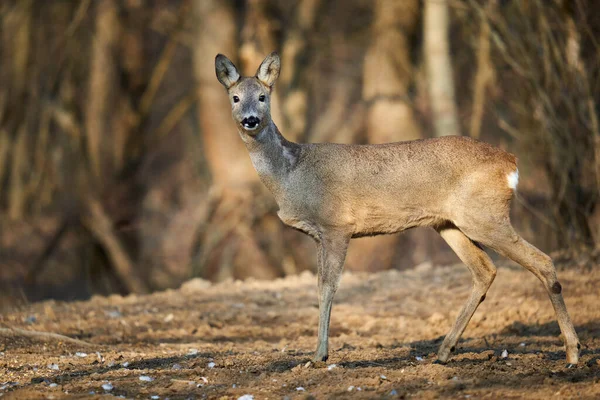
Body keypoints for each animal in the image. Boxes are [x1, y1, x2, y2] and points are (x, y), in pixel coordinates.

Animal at [213, 51, 580, 364]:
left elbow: (328, 287)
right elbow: (319, 286)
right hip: (449, 223)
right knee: (485, 269)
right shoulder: (319, 235)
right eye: (235, 97)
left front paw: (318, 356)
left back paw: (573, 352)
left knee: (542, 261)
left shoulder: (337, 226)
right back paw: (443, 352)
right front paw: (318, 352)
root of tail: (511, 163)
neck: (291, 174)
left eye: (263, 97)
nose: (250, 120)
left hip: (485, 215)